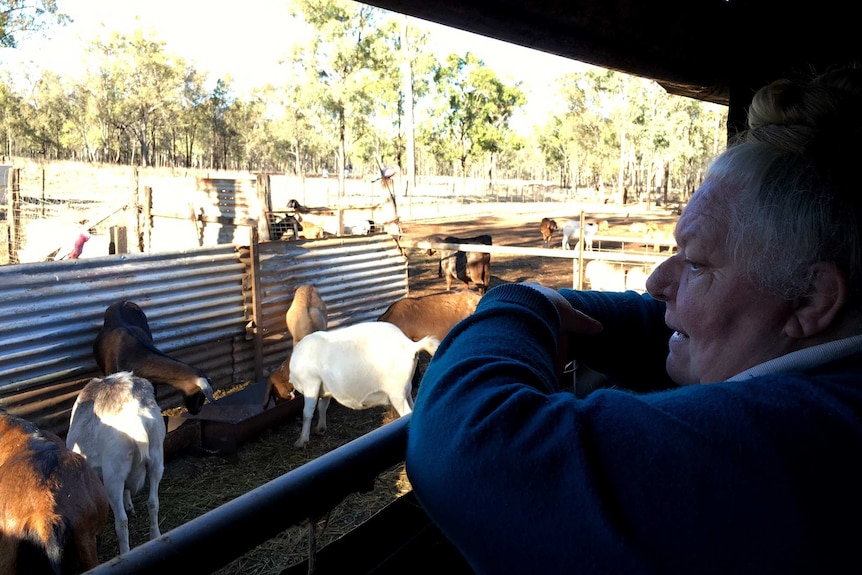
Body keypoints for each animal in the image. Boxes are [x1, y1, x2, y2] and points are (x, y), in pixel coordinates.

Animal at [288, 322, 438, 448]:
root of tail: (410, 345)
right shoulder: (325, 389)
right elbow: (322, 407)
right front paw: (320, 428)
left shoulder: (311, 383)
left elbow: (307, 413)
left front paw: (301, 441)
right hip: (405, 388)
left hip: (396, 392)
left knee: (406, 413)